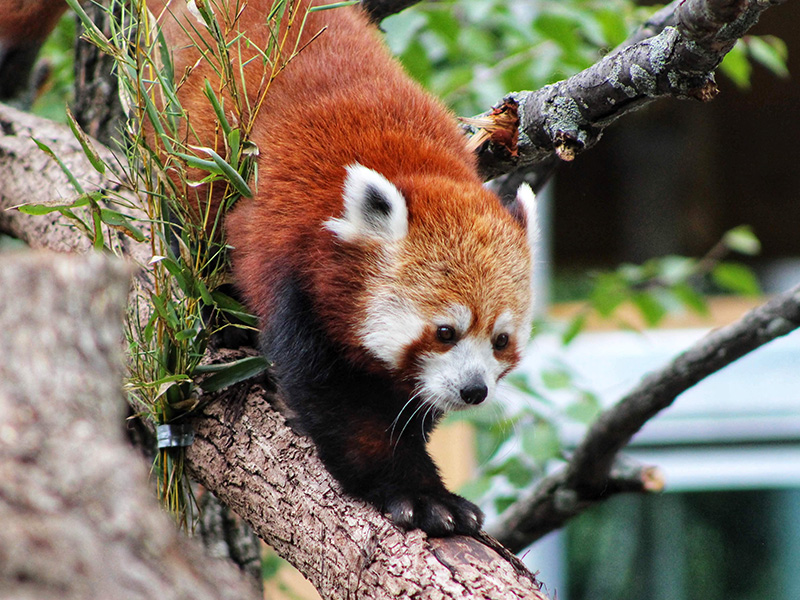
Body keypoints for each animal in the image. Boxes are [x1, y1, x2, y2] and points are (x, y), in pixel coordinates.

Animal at [150, 0, 536, 536]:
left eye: (501, 340)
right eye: (445, 332)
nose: (474, 390)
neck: (418, 169)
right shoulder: (292, 263)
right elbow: (339, 401)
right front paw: (419, 494)